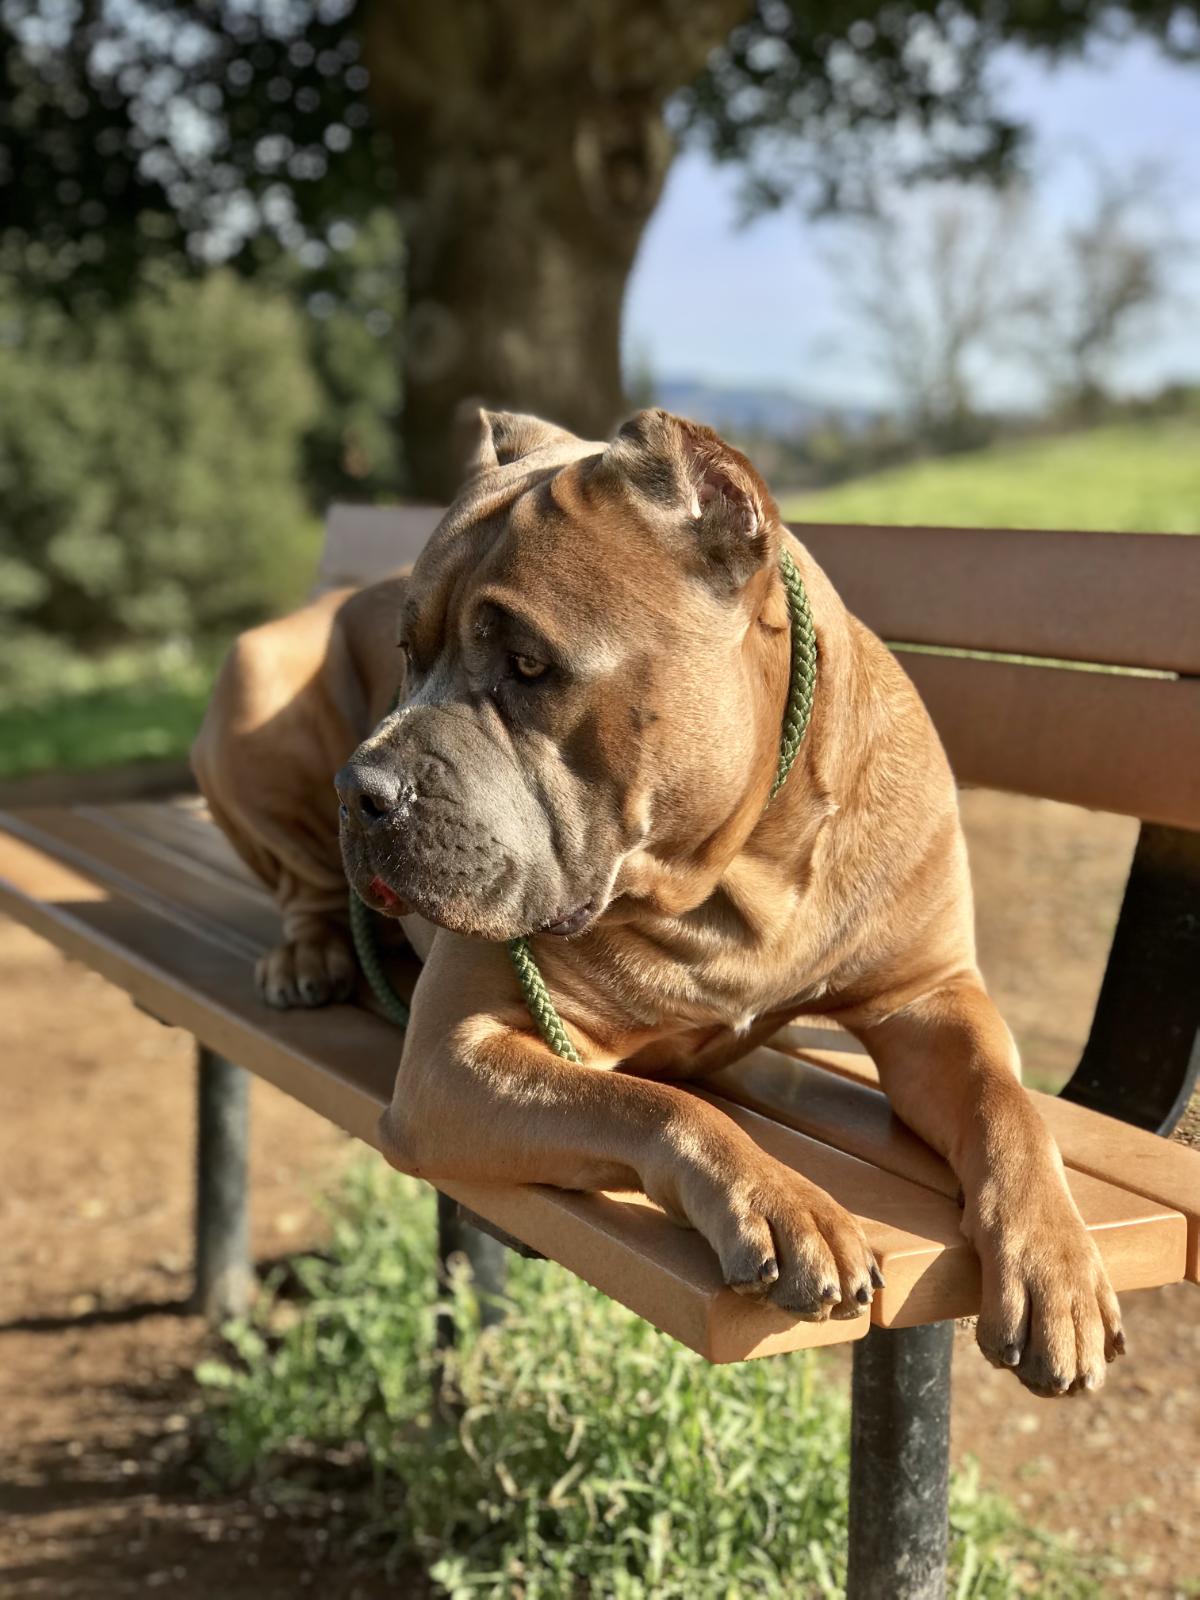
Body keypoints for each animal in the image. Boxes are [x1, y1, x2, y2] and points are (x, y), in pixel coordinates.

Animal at [195, 406, 1126, 1395]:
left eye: (528, 665)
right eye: (405, 657)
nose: (362, 789)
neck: (741, 871)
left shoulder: (930, 998)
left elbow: (1006, 1102)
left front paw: (1057, 1262)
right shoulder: (457, 1058)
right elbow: (657, 1105)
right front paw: (783, 1200)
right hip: (253, 674)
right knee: (303, 882)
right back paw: (311, 952)